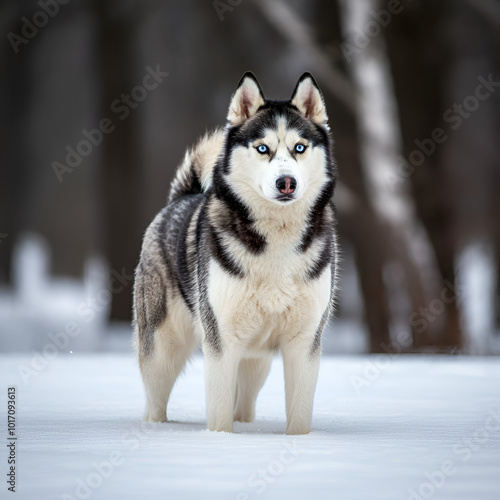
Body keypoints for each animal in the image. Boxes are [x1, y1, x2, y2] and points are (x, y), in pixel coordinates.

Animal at [133, 71, 338, 434]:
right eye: (263, 148)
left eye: (299, 148)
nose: (286, 182)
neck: (276, 238)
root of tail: (181, 197)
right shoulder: (221, 340)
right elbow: (218, 412)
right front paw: (222, 441)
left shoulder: (304, 341)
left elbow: (299, 413)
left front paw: (298, 440)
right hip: (161, 349)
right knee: (155, 398)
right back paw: (157, 428)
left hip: (257, 359)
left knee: (246, 399)